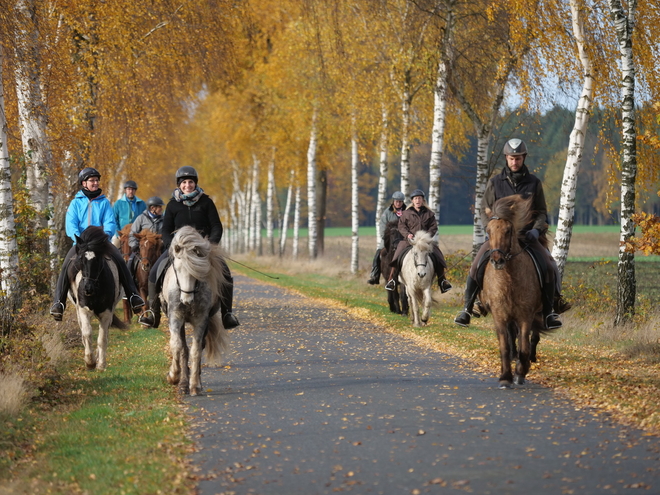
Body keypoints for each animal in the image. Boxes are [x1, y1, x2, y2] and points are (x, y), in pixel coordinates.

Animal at [67, 227, 127, 370]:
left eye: (98, 260)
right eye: (81, 260)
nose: (88, 288)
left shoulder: (106, 312)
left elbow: (102, 338)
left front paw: (100, 364)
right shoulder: (83, 310)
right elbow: (87, 333)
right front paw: (90, 362)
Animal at [161, 227, 231, 398]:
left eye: (198, 271)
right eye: (177, 269)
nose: (186, 300)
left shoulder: (200, 320)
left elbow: (195, 351)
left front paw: (194, 386)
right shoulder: (175, 318)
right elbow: (178, 346)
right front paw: (174, 377)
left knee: (199, 347)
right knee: (183, 347)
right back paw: (182, 383)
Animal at [480, 196, 552, 390]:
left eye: (508, 230)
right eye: (488, 230)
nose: (497, 260)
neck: (509, 280)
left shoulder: (525, 316)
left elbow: (524, 346)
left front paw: (521, 372)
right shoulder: (499, 315)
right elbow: (505, 346)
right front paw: (505, 377)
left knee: (530, 339)